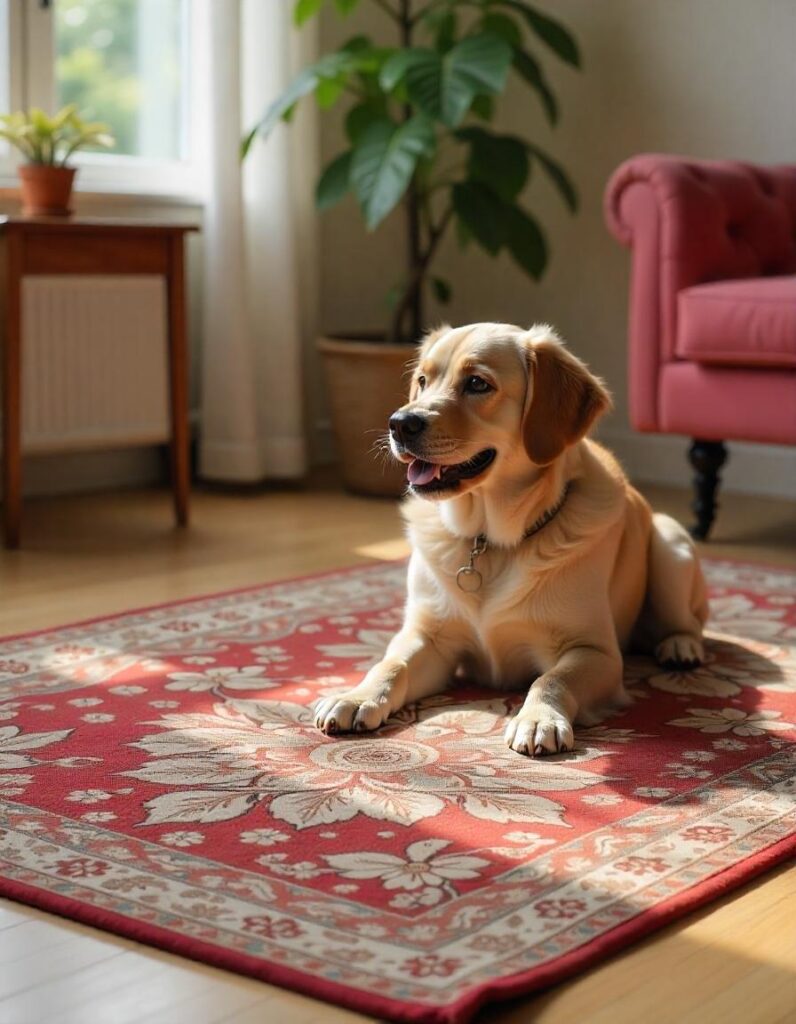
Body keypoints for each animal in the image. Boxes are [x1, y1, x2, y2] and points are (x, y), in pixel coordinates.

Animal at [311, 323, 708, 757]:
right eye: (422, 381)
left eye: (477, 383)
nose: (399, 423)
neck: (488, 541)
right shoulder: (428, 636)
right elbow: (390, 664)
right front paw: (355, 696)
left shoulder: (595, 651)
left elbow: (552, 678)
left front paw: (537, 718)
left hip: (670, 546)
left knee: (688, 623)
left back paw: (680, 647)